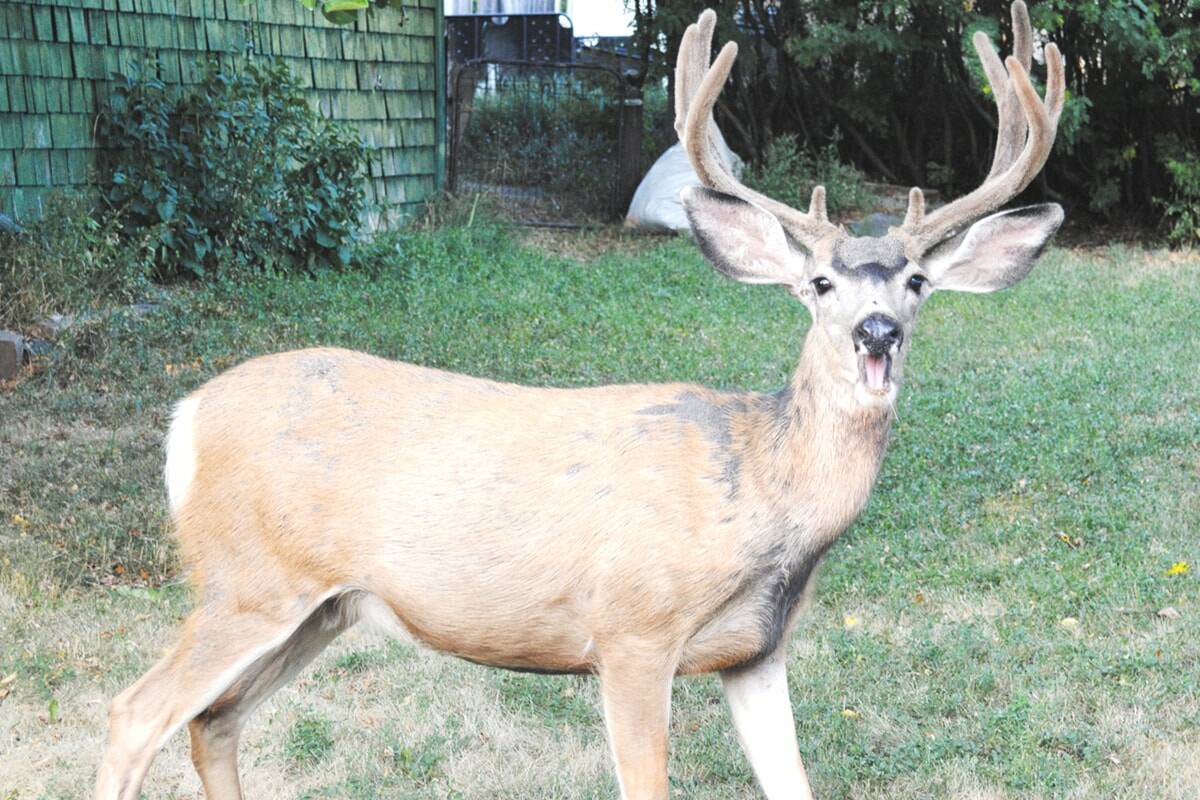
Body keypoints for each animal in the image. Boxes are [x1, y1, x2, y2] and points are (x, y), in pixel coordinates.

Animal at [95, 3, 1064, 799]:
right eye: (820, 283)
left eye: (915, 282)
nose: (876, 331)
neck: (760, 490)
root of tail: (185, 419)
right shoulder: (631, 630)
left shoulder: (757, 651)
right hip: (248, 580)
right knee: (134, 714)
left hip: (318, 604)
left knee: (213, 721)